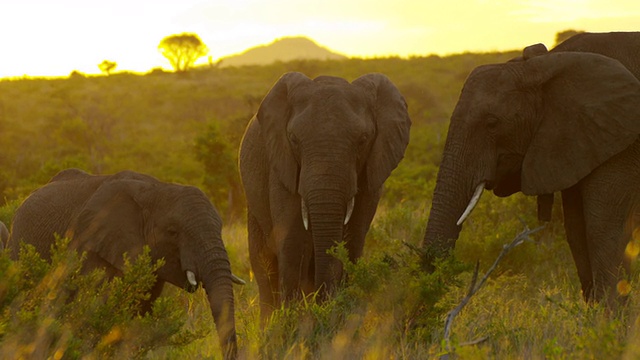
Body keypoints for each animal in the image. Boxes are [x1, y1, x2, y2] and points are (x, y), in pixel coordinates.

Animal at [239, 70, 410, 320]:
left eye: (363, 140)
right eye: (293, 138)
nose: (325, 304)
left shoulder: (371, 178)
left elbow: (353, 242)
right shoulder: (282, 169)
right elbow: (293, 242)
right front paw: (293, 321)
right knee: (264, 265)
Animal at [422, 47, 640, 306]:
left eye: (492, 123)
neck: (543, 65)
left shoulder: (621, 141)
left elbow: (603, 232)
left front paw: (610, 317)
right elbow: (577, 232)